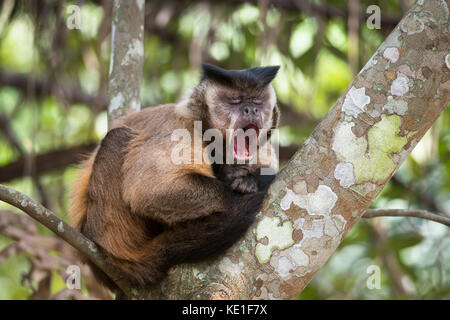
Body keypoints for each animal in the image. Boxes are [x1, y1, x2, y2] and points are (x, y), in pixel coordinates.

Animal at [70, 63, 280, 290]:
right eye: (235, 101)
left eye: (257, 101)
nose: (252, 109)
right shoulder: (182, 129)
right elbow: (146, 192)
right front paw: (236, 183)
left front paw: (243, 179)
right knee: (117, 138)